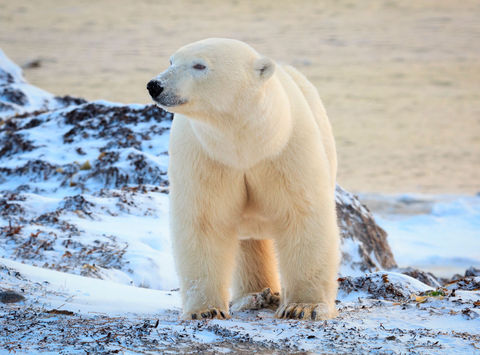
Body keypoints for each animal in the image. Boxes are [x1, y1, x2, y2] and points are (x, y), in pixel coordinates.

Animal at [148, 37, 340, 322]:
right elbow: (204, 221)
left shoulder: (286, 151)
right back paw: (254, 295)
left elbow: (303, 214)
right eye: (171, 60)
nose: (155, 85)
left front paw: (302, 307)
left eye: (199, 65)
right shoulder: (207, 157)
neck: (246, 144)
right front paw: (205, 310)